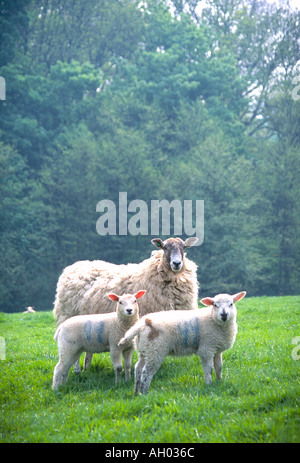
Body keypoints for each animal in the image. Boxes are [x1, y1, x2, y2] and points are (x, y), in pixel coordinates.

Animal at [53, 237, 199, 376]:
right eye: (164, 247)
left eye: (184, 247)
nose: (176, 263)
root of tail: (72, 267)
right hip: (69, 318)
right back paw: (77, 370)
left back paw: (86, 368)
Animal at [117, 292, 246, 394]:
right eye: (215, 305)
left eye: (231, 304)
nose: (224, 315)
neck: (213, 319)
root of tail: (141, 324)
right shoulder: (207, 348)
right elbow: (209, 369)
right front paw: (209, 384)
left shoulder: (217, 349)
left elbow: (219, 367)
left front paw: (219, 381)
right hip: (155, 350)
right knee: (146, 372)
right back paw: (144, 393)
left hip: (145, 350)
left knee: (138, 368)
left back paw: (136, 391)